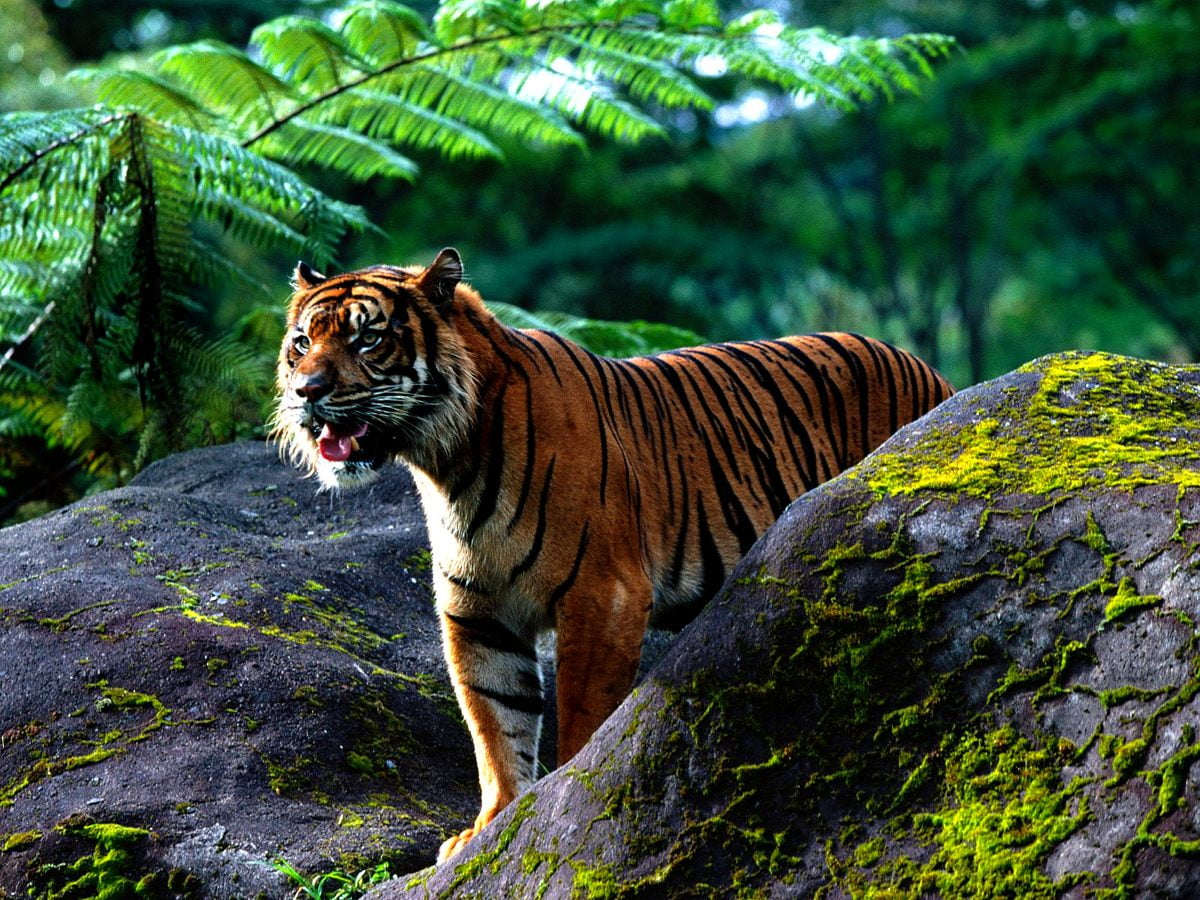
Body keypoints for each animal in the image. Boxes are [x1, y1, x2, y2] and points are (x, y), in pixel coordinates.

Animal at [273, 248, 953, 862]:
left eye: (367, 340)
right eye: (302, 343)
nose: (307, 391)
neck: (449, 463)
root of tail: (934, 374)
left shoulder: (603, 594)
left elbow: (580, 714)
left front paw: (555, 805)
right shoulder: (478, 614)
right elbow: (494, 724)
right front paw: (490, 826)